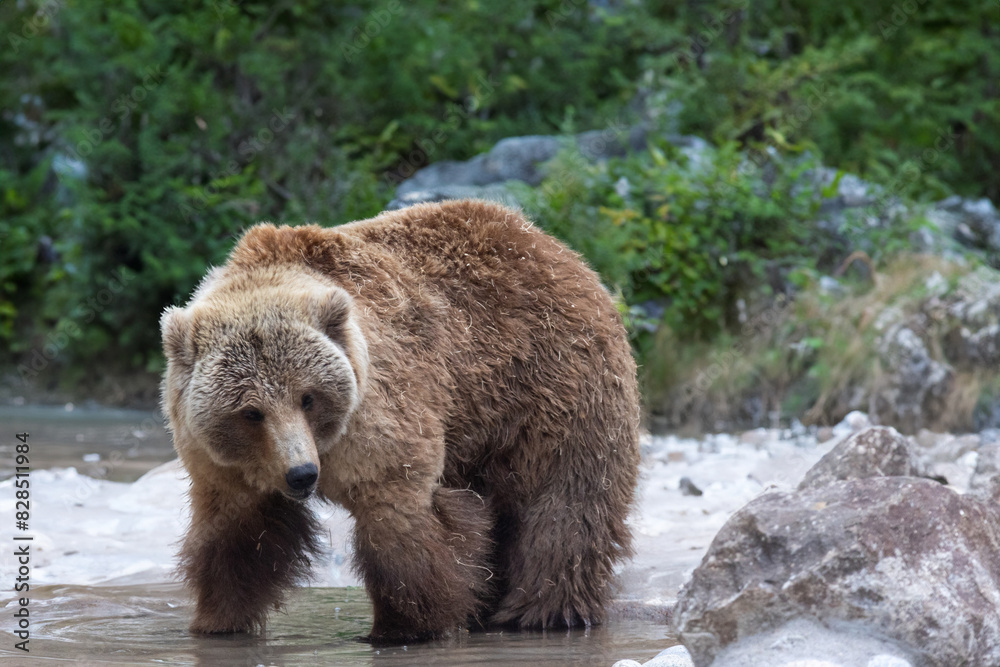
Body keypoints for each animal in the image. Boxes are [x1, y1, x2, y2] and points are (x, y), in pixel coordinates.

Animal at [161, 199, 641, 643]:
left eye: (308, 397)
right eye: (250, 411)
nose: (302, 474)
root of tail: (555, 248)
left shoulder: (380, 415)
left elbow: (398, 524)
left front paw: (404, 626)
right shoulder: (224, 465)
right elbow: (238, 537)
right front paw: (218, 619)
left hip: (549, 387)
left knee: (565, 504)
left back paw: (543, 610)